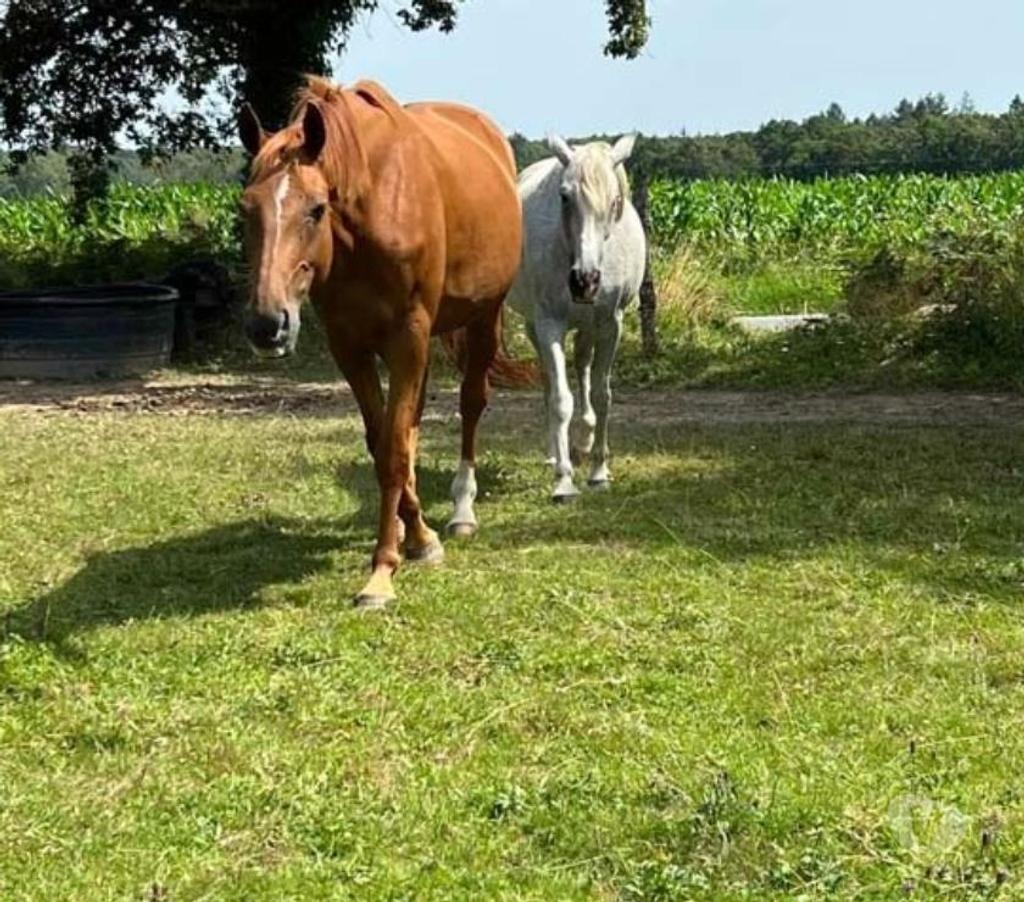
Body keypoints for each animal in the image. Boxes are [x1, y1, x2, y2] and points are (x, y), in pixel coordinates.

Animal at [237, 77, 525, 609]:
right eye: (246, 209)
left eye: (316, 209)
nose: (267, 324)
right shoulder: (349, 345)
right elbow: (384, 440)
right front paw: (416, 535)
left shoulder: (407, 337)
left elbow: (393, 447)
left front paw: (383, 571)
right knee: (412, 422)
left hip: (483, 318)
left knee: (472, 403)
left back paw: (461, 511)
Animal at [506, 134, 646, 501]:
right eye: (565, 196)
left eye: (615, 200)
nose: (585, 281)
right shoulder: (549, 325)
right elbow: (559, 399)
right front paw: (564, 480)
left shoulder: (611, 324)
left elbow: (601, 393)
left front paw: (599, 470)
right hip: (534, 326)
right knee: (549, 383)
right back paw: (555, 454)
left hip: (589, 326)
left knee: (583, 366)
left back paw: (584, 438)